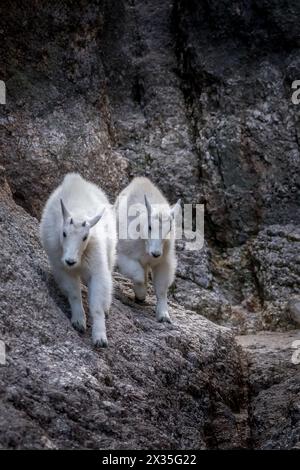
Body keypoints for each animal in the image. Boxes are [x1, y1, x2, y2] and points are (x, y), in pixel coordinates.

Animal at [40, 173, 117, 346]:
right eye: (64, 233)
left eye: (85, 237)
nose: (70, 261)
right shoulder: (62, 268)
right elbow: (74, 293)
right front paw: (79, 322)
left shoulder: (96, 267)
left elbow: (96, 305)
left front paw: (100, 338)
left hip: (109, 253)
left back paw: (107, 307)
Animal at [115, 176, 180, 324]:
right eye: (150, 227)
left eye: (169, 229)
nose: (155, 253)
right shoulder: (123, 255)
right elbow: (138, 276)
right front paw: (140, 295)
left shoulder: (163, 261)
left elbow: (161, 288)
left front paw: (163, 316)